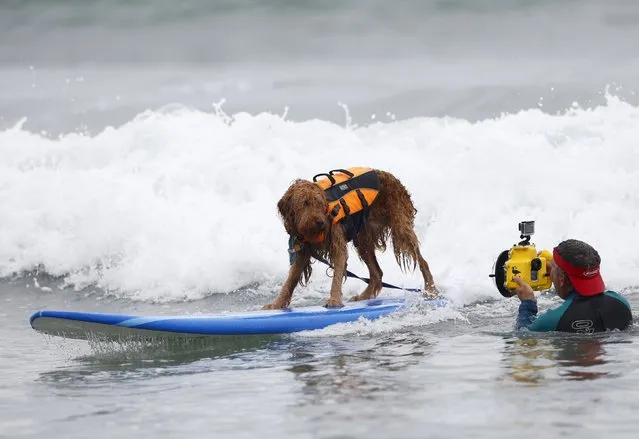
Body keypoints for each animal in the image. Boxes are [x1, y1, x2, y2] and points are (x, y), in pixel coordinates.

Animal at [262, 168, 438, 310]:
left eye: (319, 203)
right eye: (305, 203)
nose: (321, 222)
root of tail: (393, 178)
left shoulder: (337, 242)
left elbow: (337, 274)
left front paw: (334, 300)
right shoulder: (303, 250)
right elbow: (290, 280)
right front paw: (277, 304)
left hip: (400, 227)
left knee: (422, 260)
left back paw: (430, 289)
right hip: (363, 238)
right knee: (377, 273)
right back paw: (365, 296)